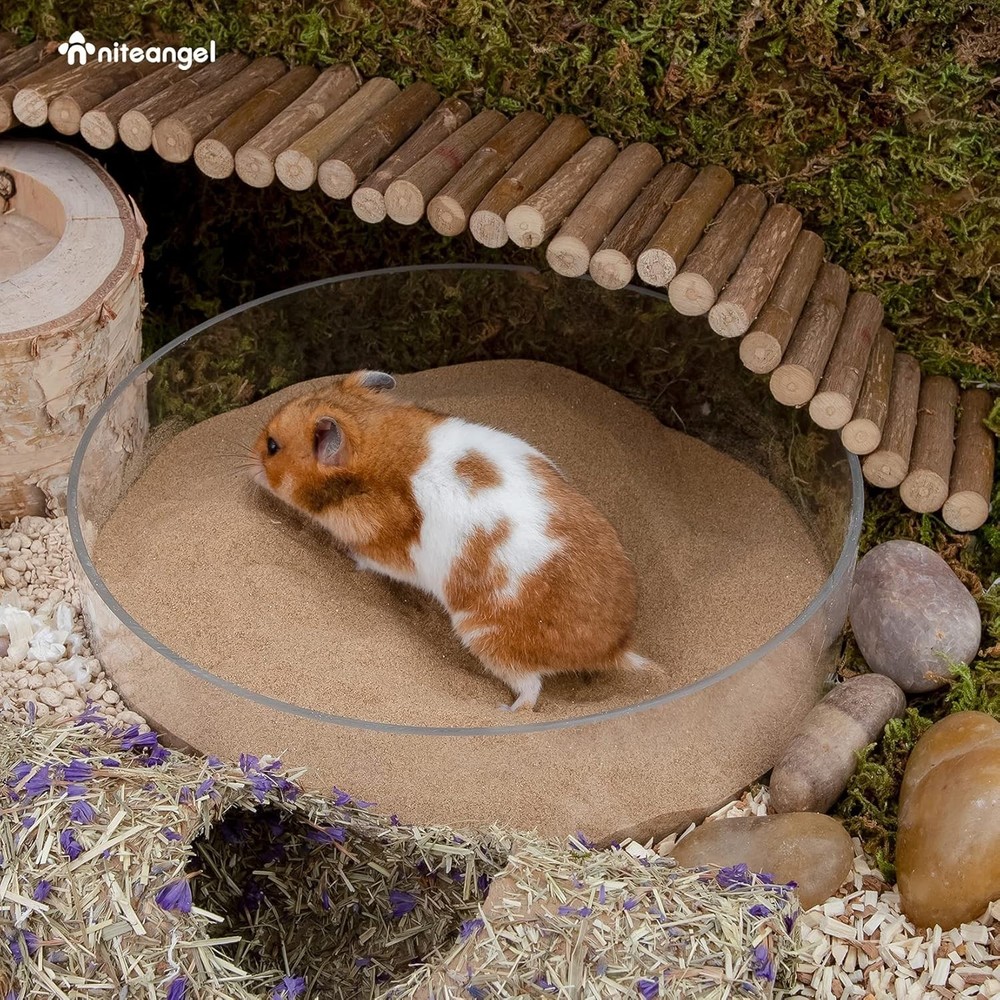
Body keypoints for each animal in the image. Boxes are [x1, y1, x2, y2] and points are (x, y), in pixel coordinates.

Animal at [252, 370, 649, 711]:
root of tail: (614, 647)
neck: (376, 440)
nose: (249, 463)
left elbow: (366, 558)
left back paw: (506, 709)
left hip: (488, 639)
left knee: (531, 690)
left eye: (272, 446)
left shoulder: (384, 551)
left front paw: (347, 555)